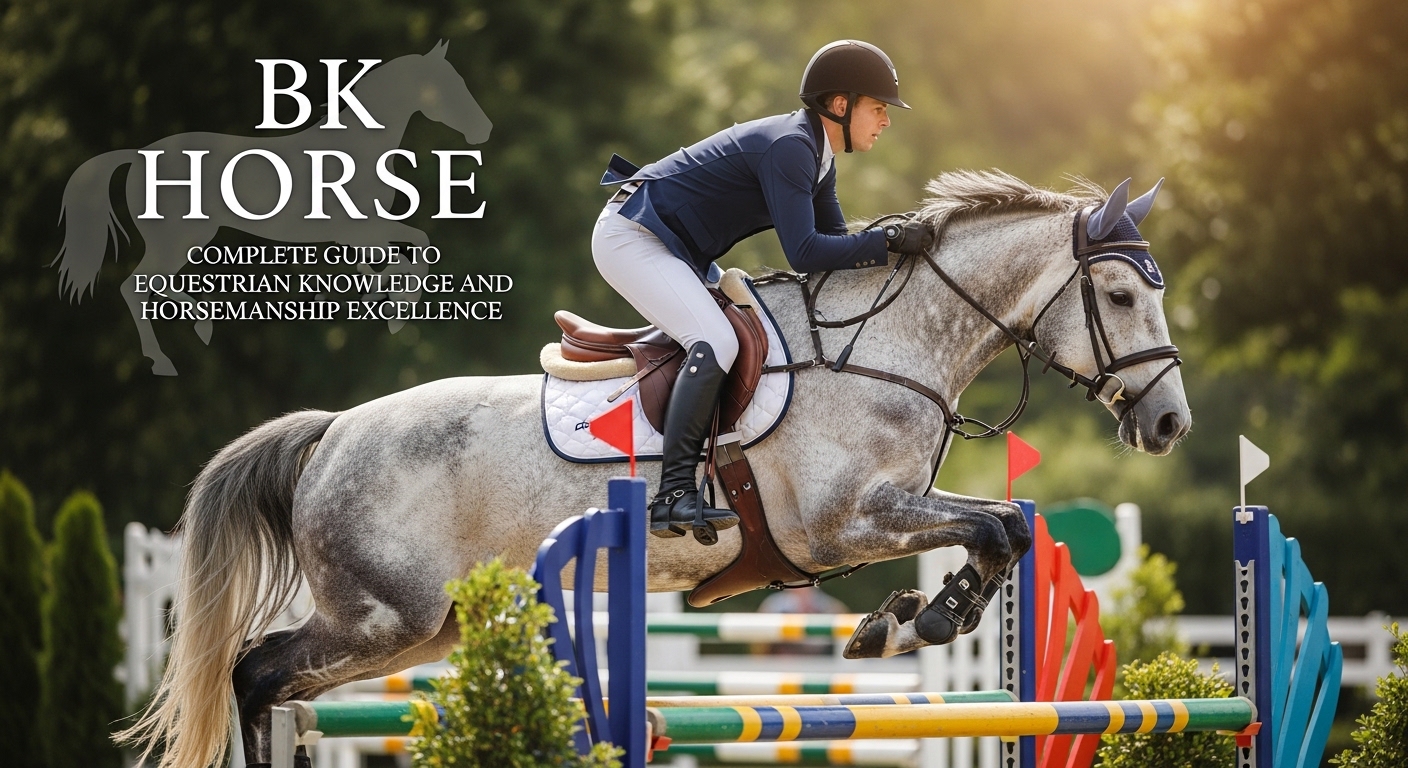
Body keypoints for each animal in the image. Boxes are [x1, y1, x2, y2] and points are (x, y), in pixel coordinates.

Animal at [52, 42, 492, 376]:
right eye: (449, 86)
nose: (484, 130)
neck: (357, 147)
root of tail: (138, 154)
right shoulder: (362, 231)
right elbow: (415, 250)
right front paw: (396, 311)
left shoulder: (357, 236)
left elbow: (401, 257)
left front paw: (382, 301)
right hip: (177, 241)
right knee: (136, 286)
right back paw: (167, 358)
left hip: (186, 241)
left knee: (148, 285)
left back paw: (203, 326)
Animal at [118, 170, 1191, 767]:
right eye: (1119, 295)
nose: (1172, 422)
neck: (882, 348)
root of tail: (334, 431)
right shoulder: (842, 524)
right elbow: (989, 524)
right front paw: (916, 619)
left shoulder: (884, 513)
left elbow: (1005, 527)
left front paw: (905, 620)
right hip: (383, 615)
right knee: (254, 673)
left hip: (419, 628)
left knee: (275, 684)